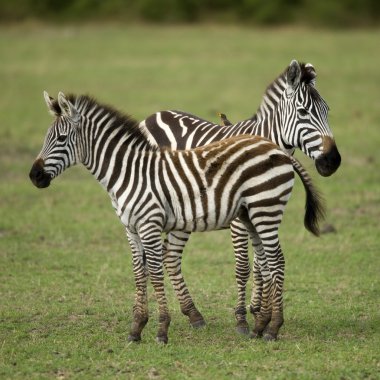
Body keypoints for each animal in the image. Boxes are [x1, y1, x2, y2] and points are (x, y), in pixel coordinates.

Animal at [29, 91, 326, 342]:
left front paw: (161, 330)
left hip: (266, 209)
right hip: (252, 214)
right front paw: (136, 329)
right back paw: (259, 326)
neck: (129, 172)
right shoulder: (131, 228)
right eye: (47, 137)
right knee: (266, 261)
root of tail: (276, 149)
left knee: (277, 261)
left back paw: (273, 328)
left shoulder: (149, 224)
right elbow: (139, 272)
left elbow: (155, 272)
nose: (34, 176)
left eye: (61, 139)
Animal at [137, 58, 342, 332]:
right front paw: (242, 318)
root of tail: (155, 115)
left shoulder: (263, 212)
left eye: (327, 111)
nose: (333, 161)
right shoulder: (238, 220)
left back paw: (192, 313)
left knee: (169, 256)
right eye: (303, 113)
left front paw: (258, 310)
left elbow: (261, 264)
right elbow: (244, 267)